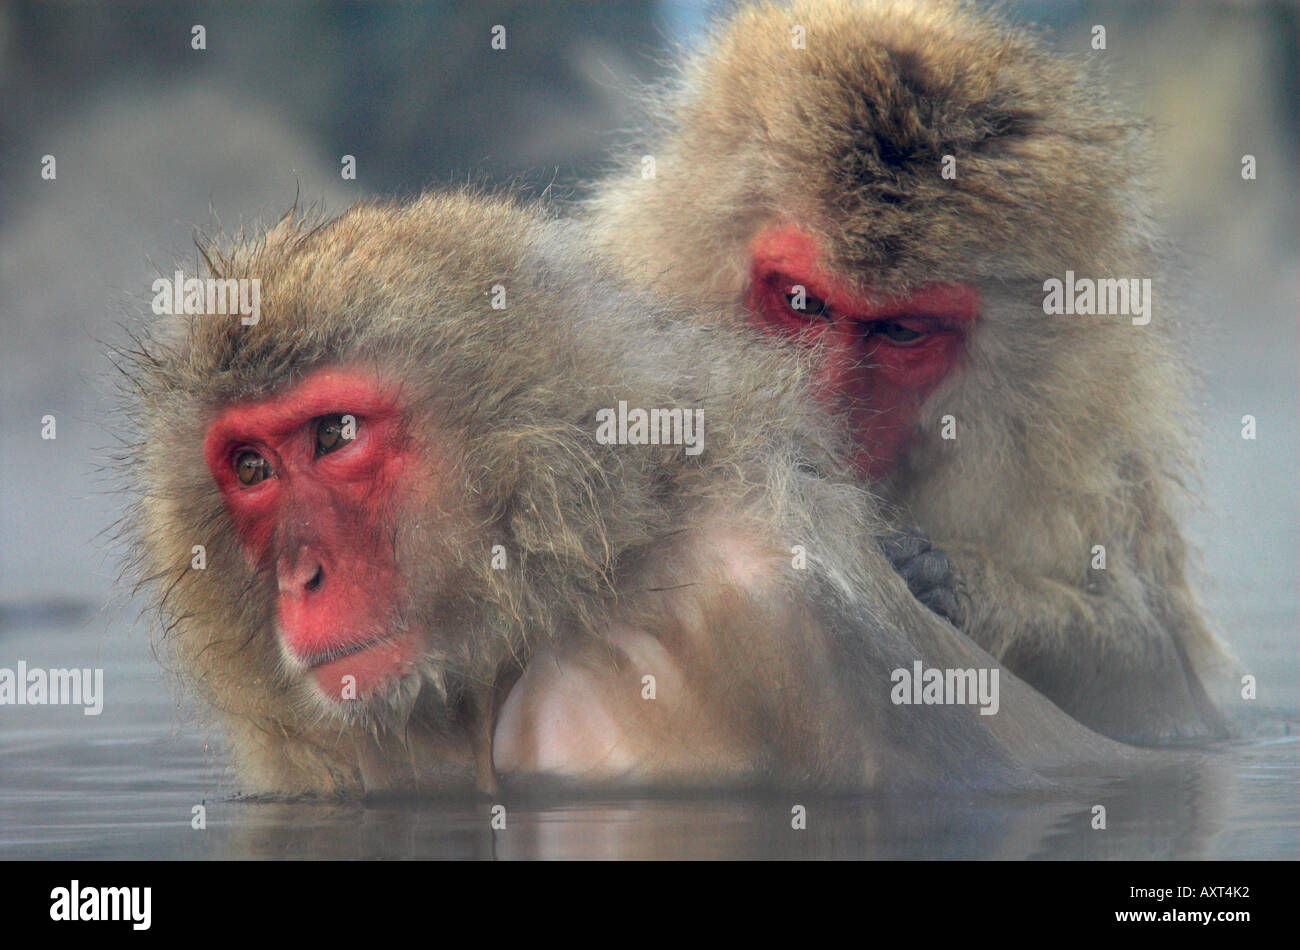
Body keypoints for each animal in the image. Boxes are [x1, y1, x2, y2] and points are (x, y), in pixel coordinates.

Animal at [587, 0, 1240, 745]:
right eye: (803, 303)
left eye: (902, 331)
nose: (824, 405)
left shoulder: (1095, 464)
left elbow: (1165, 688)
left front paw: (944, 581)